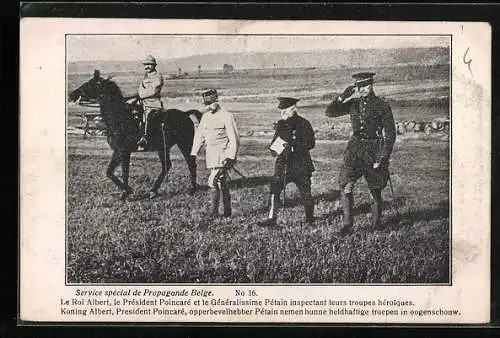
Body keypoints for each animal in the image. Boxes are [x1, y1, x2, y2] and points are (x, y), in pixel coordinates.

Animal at [69, 75, 202, 199]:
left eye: (91, 84)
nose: (71, 95)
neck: (120, 118)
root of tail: (185, 114)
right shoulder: (124, 152)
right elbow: (122, 172)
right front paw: (125, 194)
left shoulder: (120, 151)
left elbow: (111, 172)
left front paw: (128, 191)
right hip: (163, 148)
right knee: (167, 166)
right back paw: (154, 191)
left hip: (184, 144)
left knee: (191, 163)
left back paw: (192, 190)